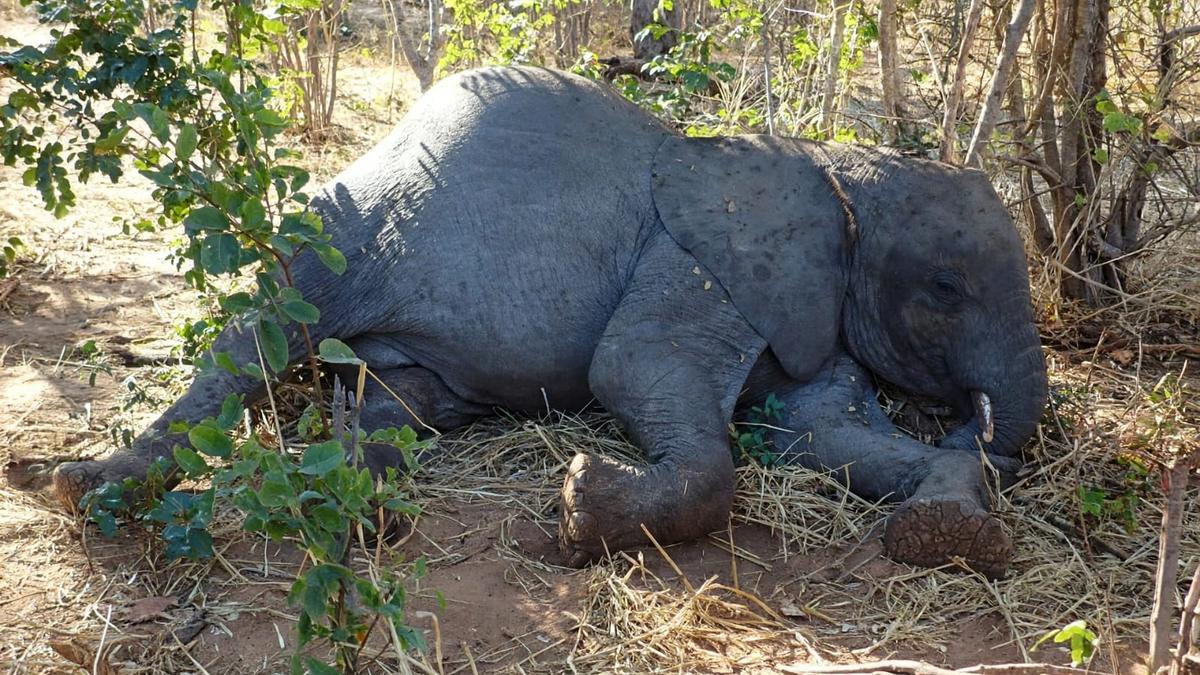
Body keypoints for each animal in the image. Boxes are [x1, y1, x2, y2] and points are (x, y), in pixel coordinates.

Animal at [52, 66, 1047, 578]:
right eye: (946, 286)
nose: (970, 419)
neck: (835, 169)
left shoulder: (806, 307)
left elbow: (820, 432)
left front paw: (948, 533)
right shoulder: (693, 263)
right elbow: (631, 370)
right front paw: (579, 507)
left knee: (396, 403)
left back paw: (355, 502)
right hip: (333, 232)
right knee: (251, 347)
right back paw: (92, 487)